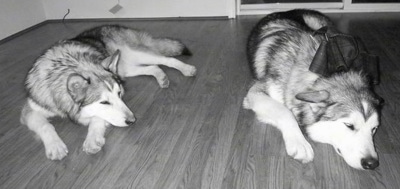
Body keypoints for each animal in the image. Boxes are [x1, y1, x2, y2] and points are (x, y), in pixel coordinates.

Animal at [20, 25, 195, 160]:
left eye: (119, 94)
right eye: (104, 102)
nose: (132, 120)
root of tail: (112, 26)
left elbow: (97, 118)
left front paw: (92, 139)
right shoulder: (30, 110)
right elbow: (45, 125)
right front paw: (55, 146)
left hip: (136, 55)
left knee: (166, 60)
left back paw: (187, 69)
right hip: (126, 69)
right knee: (154, 67)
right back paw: (162, 78)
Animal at [244, 9, 382, 170]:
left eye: (374, 129)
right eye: (349, 126)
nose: (372, 163)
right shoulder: (255, 92)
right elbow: (284, 112)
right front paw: (299, 144)